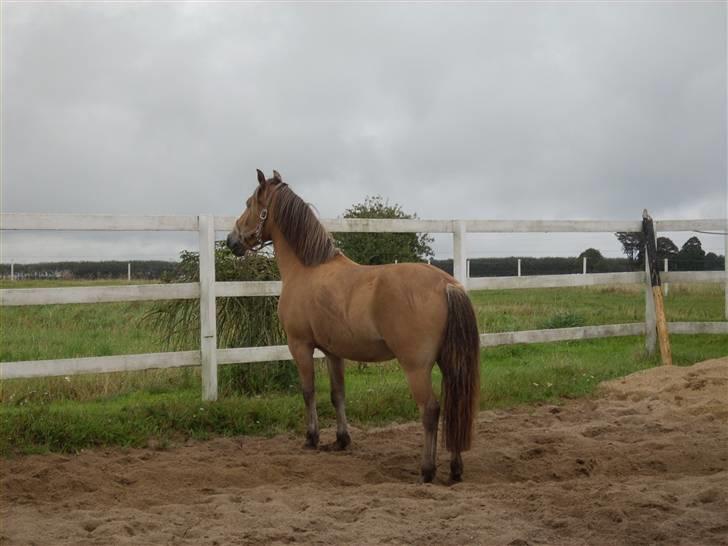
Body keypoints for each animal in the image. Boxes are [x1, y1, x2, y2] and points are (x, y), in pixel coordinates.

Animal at [225, 169, 480, 480]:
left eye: (249, 203)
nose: (231, 241)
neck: (306, 268)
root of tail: (446, 284)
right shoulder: (333, 352)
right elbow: (338, 395)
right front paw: (341, 440)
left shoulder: (300, 345)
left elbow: (308, 391)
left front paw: (311, 438)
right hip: (450, 362)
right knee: (457, 403)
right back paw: (455, 469)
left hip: (416, 366)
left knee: (430, 409)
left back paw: (427, 470)